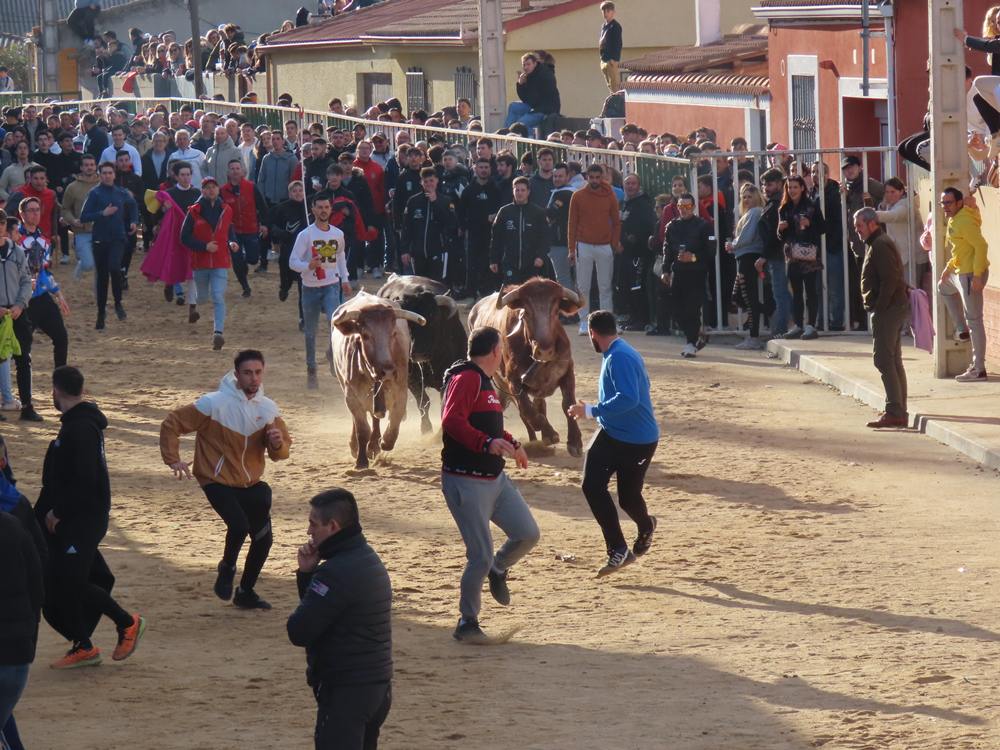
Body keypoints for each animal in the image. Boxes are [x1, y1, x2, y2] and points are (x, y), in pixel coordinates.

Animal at [332, 290, 426, 468]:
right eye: (366, 335)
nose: (387, 371)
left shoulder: (401, 390)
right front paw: (361, 460)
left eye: (393, 333)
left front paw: (385, 442)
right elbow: (362, 429)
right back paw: (357, 446)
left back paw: (375, 444)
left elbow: (395, 419)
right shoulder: (351, 396)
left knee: (375, 418)